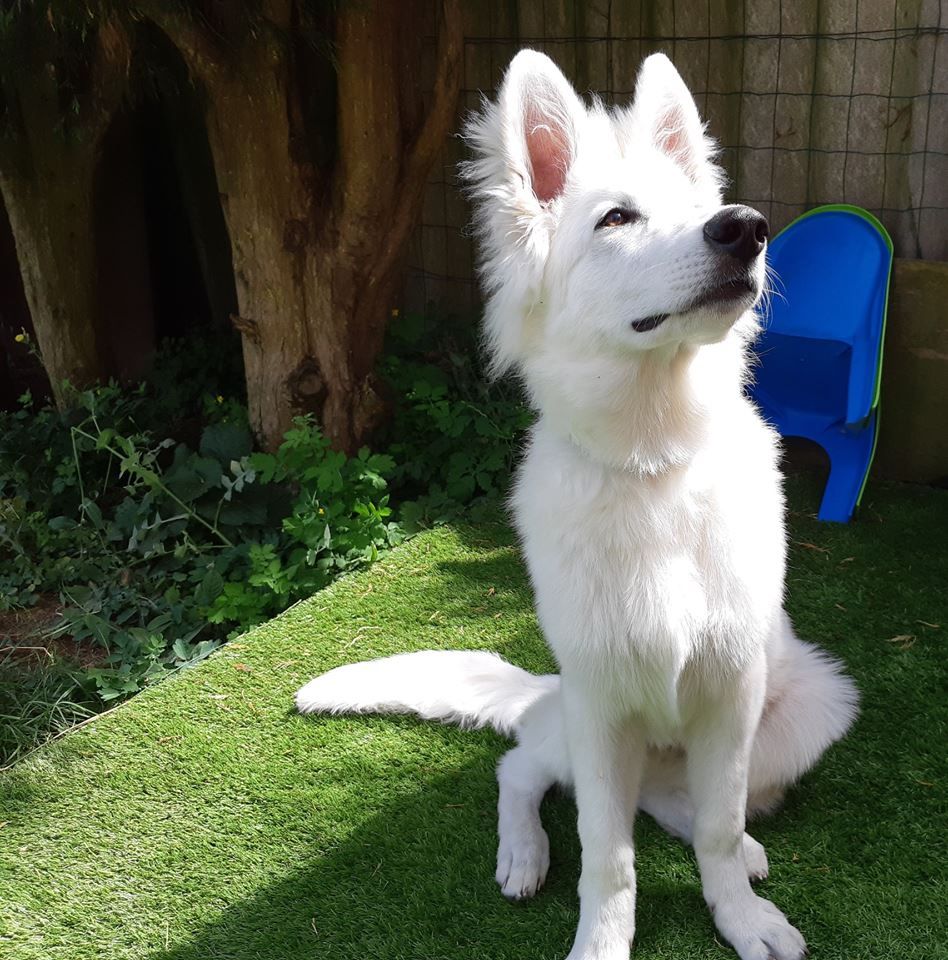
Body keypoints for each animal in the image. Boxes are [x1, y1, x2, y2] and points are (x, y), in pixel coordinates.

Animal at [296, 51, 858, 960]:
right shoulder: (601, 707)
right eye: (616, 218)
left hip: (808, 706)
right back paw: (524, 852)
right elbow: (609, 855)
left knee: (688, 807)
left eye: (702, 209)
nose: (745, 227)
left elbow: (713, 826)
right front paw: (602, 939)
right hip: (577, 723)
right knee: (523, 768)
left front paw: (740, 915)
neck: (653, 463)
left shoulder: (728, 696)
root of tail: (541, 691)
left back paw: (744, 850)